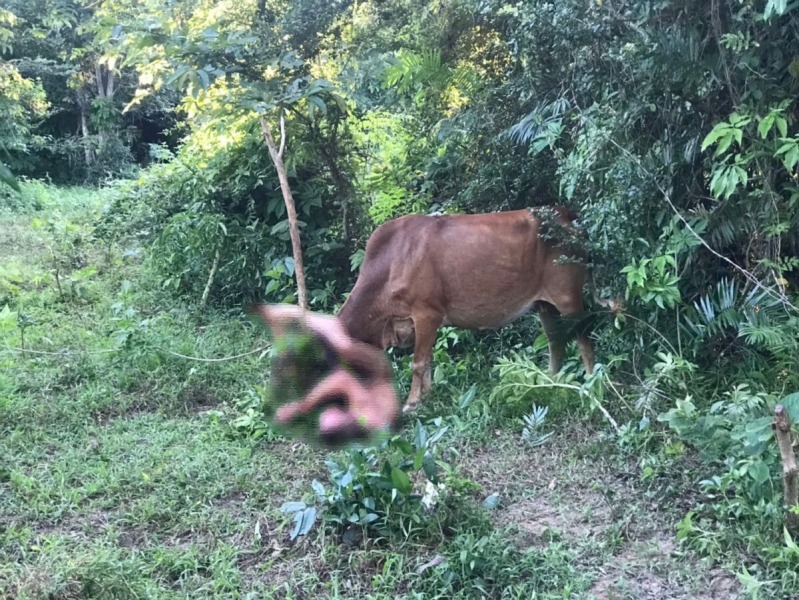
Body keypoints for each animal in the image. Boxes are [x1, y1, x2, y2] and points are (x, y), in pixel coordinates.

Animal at [336, 207, 592, 412]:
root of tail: (566, 215)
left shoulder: (426, 313)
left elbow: (418, 363)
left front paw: (412, 403)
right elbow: (427, 360)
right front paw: (427, 396)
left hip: (568, 297)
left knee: (584, 339)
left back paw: (592, 381)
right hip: (544, 304)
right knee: (555, 339)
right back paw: (551, 380)